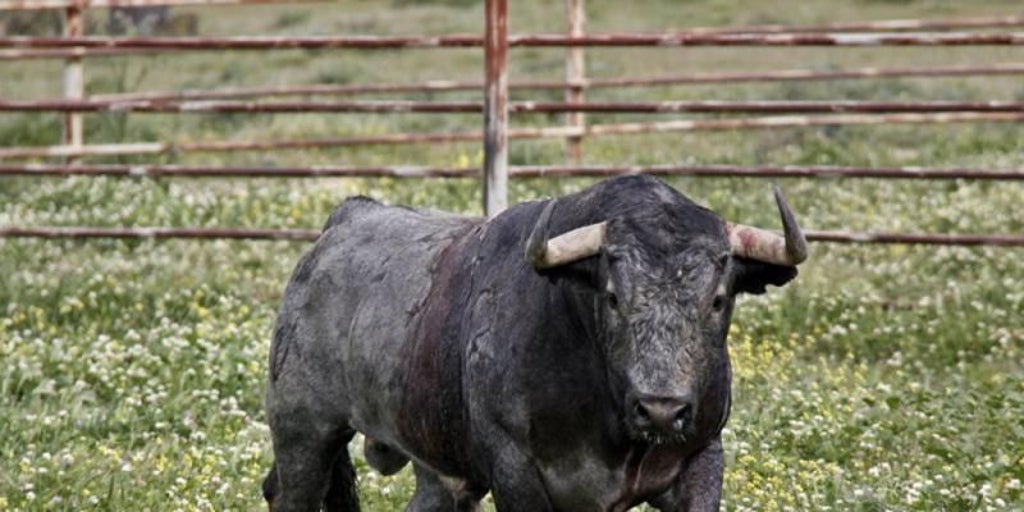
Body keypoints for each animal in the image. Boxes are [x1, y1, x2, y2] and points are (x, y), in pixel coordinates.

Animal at [260, 174, 802, 509]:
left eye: (717, 299)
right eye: (612, 296)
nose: (661, 410)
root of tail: (346, 219)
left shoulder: (701, 458)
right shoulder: (516, 472)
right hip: (305, 432)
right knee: (286, 493)